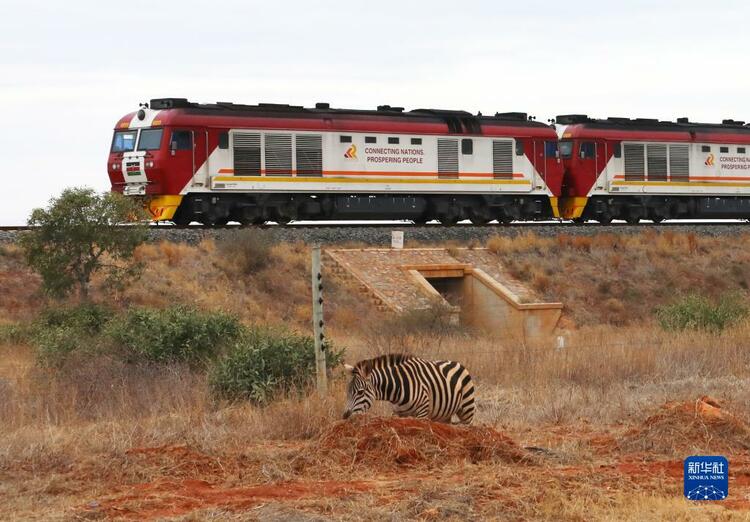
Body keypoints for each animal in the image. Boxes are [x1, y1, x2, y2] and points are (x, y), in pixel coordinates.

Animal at [342, 354, 476, 422]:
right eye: (347, 392)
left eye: (360, 392)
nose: (345, 416)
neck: (398, 387)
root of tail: (457, 362)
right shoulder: (399, 413)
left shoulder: (422, 412)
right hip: (444, 414)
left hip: (467, 409)